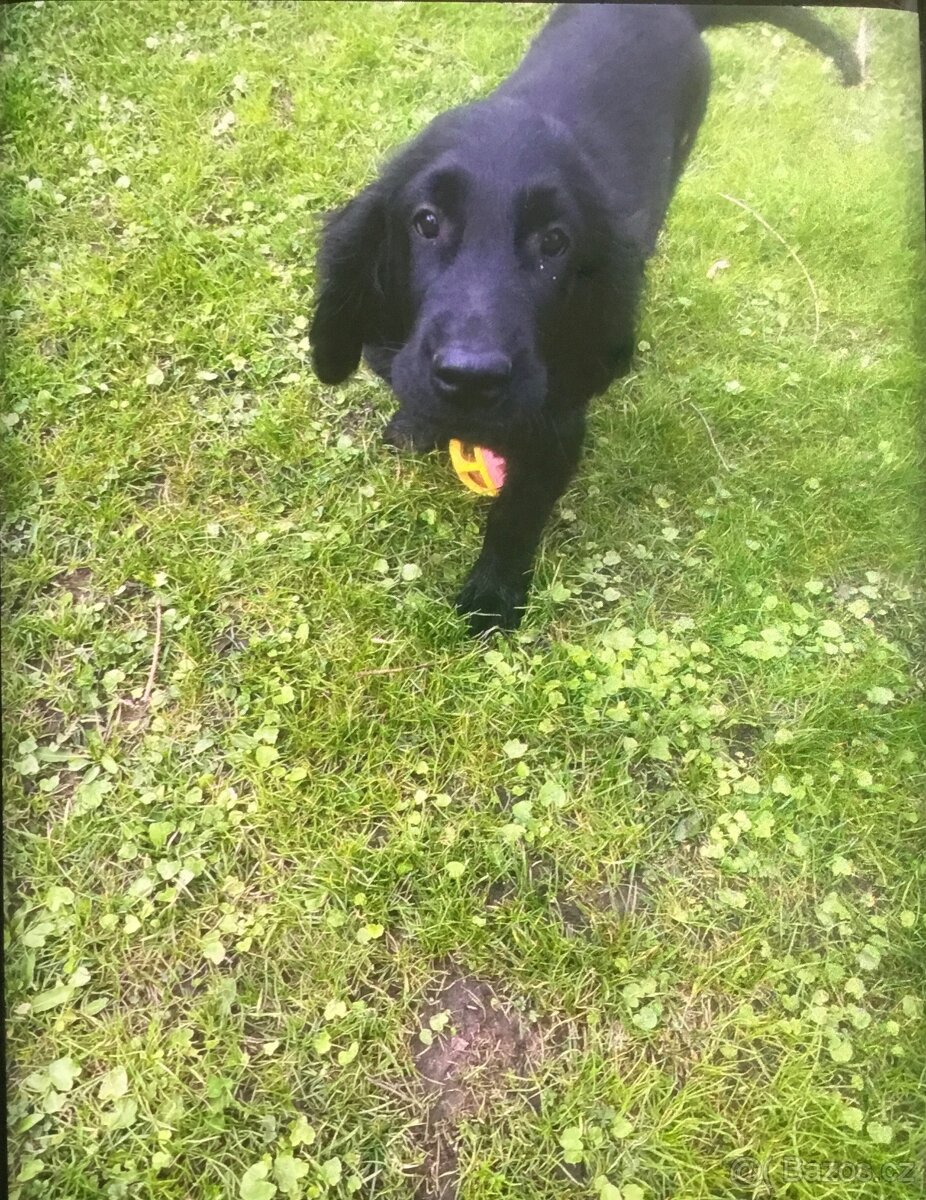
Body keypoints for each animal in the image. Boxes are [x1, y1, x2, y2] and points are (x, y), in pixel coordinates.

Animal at [307, 7, 858, 638]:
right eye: (426, 222)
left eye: (554, 242)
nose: (471, 377)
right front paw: (417, 422)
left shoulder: (557, 422)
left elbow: (517, 514)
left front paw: (491, 600)